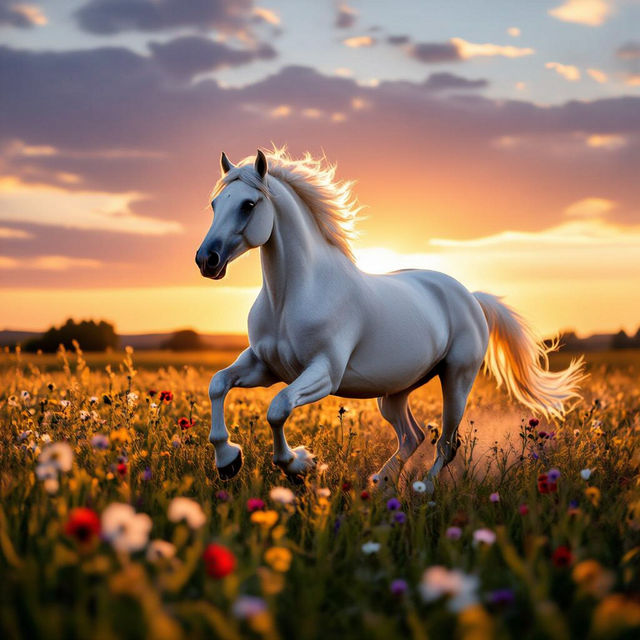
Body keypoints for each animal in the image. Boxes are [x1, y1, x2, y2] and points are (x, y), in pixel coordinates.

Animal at [195, 148, 585, 488]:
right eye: (214, 204)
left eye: (248, 204)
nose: (206, 260)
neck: (290, 298)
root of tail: (470, 297)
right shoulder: (265, 366)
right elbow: (218, 383)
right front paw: (228, 461)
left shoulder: (324, 373)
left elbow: (278, 408)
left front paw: (298, 465)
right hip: (394, 392)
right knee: (412, 436)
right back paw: (381, 483)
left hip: (457, 379)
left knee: (446, 443)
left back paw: (422, 490)